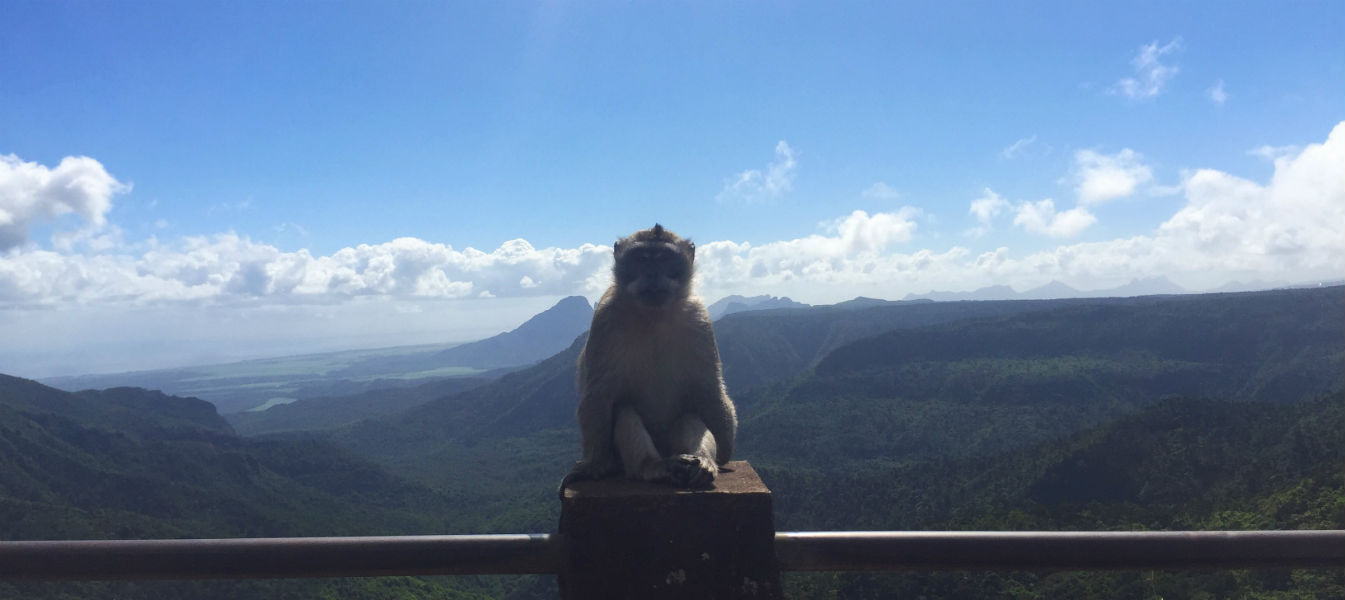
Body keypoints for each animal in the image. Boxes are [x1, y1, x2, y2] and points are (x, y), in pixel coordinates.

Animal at [562, 224, 742, 497]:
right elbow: (599, 394)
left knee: (690, 414)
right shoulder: (606, 318)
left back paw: (701, 464)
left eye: (665, 259)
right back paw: (655, 467)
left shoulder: (698, 319)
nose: (652, 274)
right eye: (641, 259)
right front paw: (593, 466)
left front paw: (722, 455)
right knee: (624, 411)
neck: (653, 316)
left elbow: (710, 389)